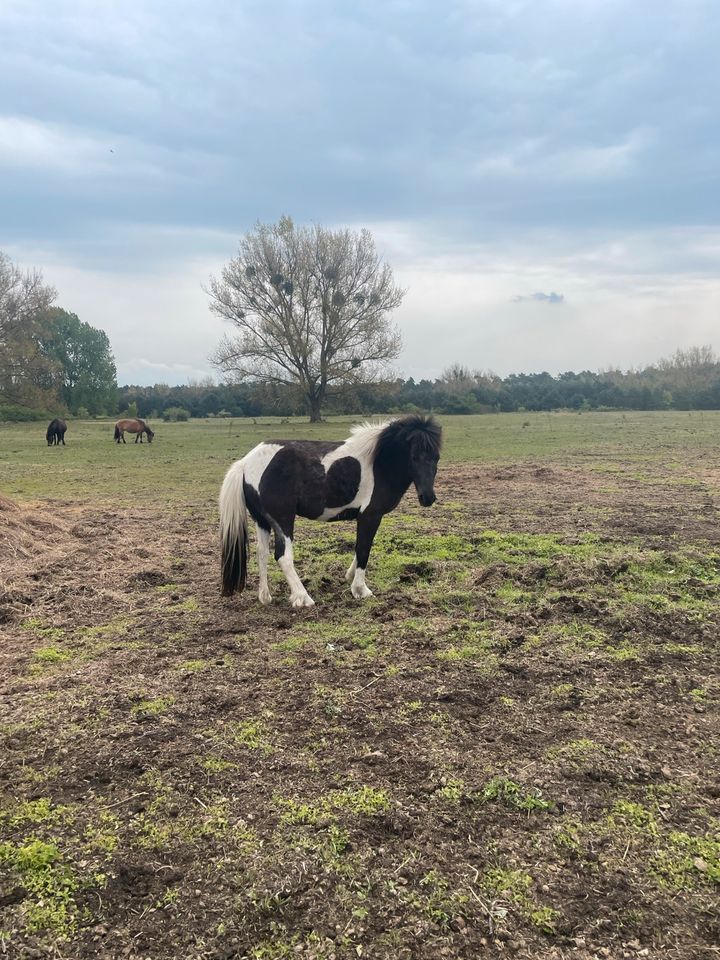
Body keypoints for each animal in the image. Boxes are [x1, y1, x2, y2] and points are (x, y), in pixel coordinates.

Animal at [219, 412, 442, 608]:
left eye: (437, 457)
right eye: (414, 457)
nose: (427, 497)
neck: (379, 462)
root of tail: (245, 463)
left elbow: (360, 547)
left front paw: (350, 577)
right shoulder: (370, 515)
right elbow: (364, 549)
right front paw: (360, 590)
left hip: (262, 521)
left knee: (261, 553)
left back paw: (265, 596)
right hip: (283, 520)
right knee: (283, 556)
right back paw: (303, 598)